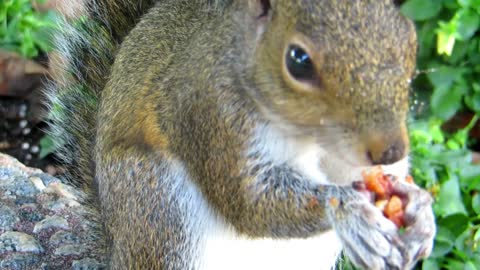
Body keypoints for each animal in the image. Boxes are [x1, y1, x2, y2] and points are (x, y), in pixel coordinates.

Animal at [47, 0, 436, 268]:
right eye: (298, 60)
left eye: (409, 37)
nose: (390, 150)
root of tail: (116, 251)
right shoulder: (210, 115)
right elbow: (249, 202)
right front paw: (348, 210)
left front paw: (419, 209)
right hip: (158, 206)